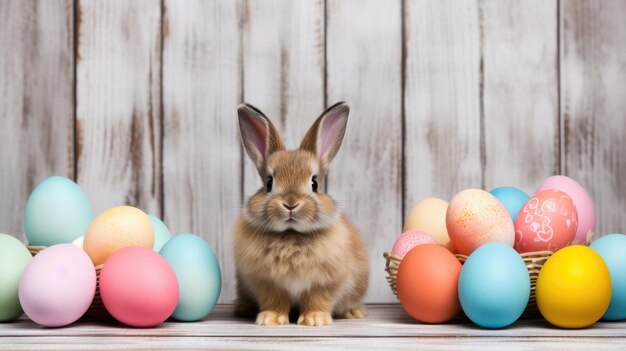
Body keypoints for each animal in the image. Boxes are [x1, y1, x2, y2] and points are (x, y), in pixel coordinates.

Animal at [232, 102, 368, 328]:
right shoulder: (267, 283)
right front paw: (270, 319)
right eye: (269, 183)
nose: (290, 203)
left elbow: (317, 299)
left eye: (314, 183)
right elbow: (275, 300)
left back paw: (354, 312)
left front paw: (314, 320)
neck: (291, 235)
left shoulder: (326, 283)